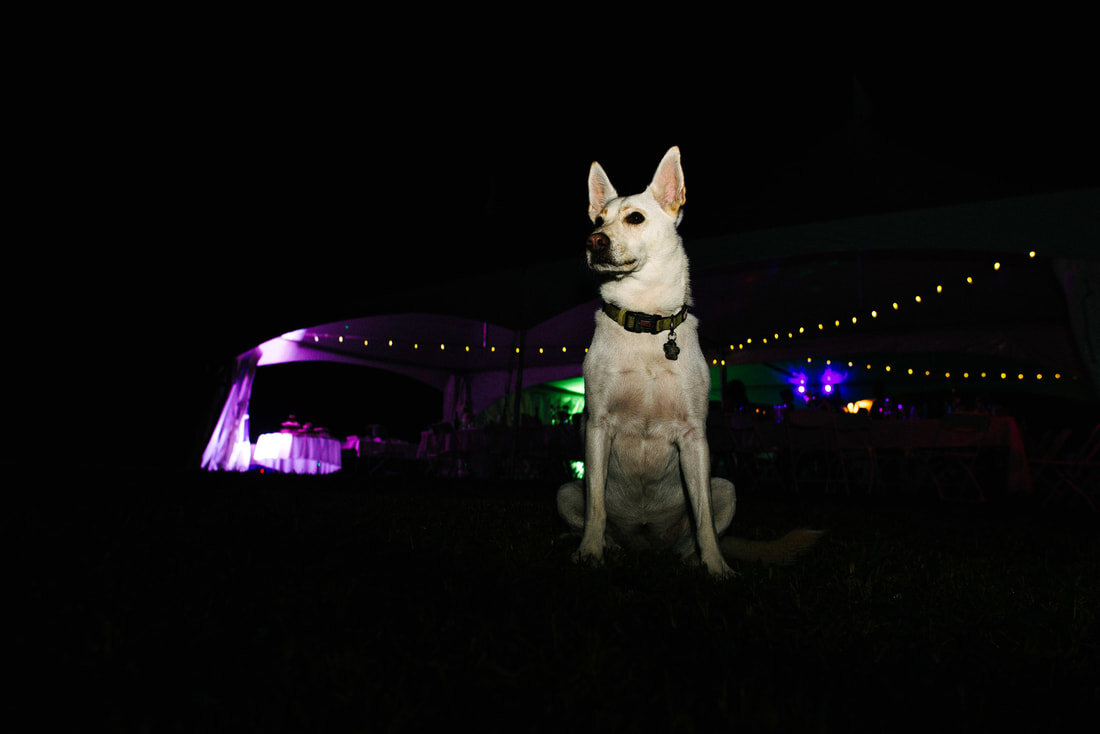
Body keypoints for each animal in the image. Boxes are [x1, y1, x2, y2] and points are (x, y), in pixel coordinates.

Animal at [558, 146, 818, 576]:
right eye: (598, 220)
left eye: (635, 217)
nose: (594, 240)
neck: (645, 323)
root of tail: (645, 544)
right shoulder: (598, 427)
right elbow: (596, 505)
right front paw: (589, 553)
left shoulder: (694, 438)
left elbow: (704, 517)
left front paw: (717, 567)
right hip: (565, 491)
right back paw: (608, 547)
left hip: (726, 487)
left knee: (691, 533)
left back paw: (693, 560)